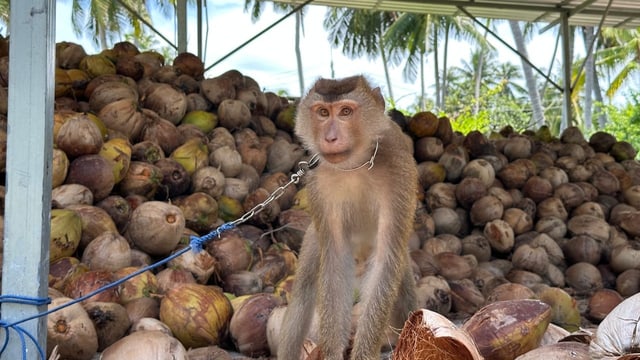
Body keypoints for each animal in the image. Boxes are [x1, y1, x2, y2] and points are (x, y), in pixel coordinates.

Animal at [278, 74, 418, 358]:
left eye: (345, 112)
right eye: (323, 112)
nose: (330, 137)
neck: (356, 165)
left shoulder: (400, 173)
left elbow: (386, 259)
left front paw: (363, 352)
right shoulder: (318, 185)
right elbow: (335, 260)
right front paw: (332, 352)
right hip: (313, 237)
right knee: (304, 292)